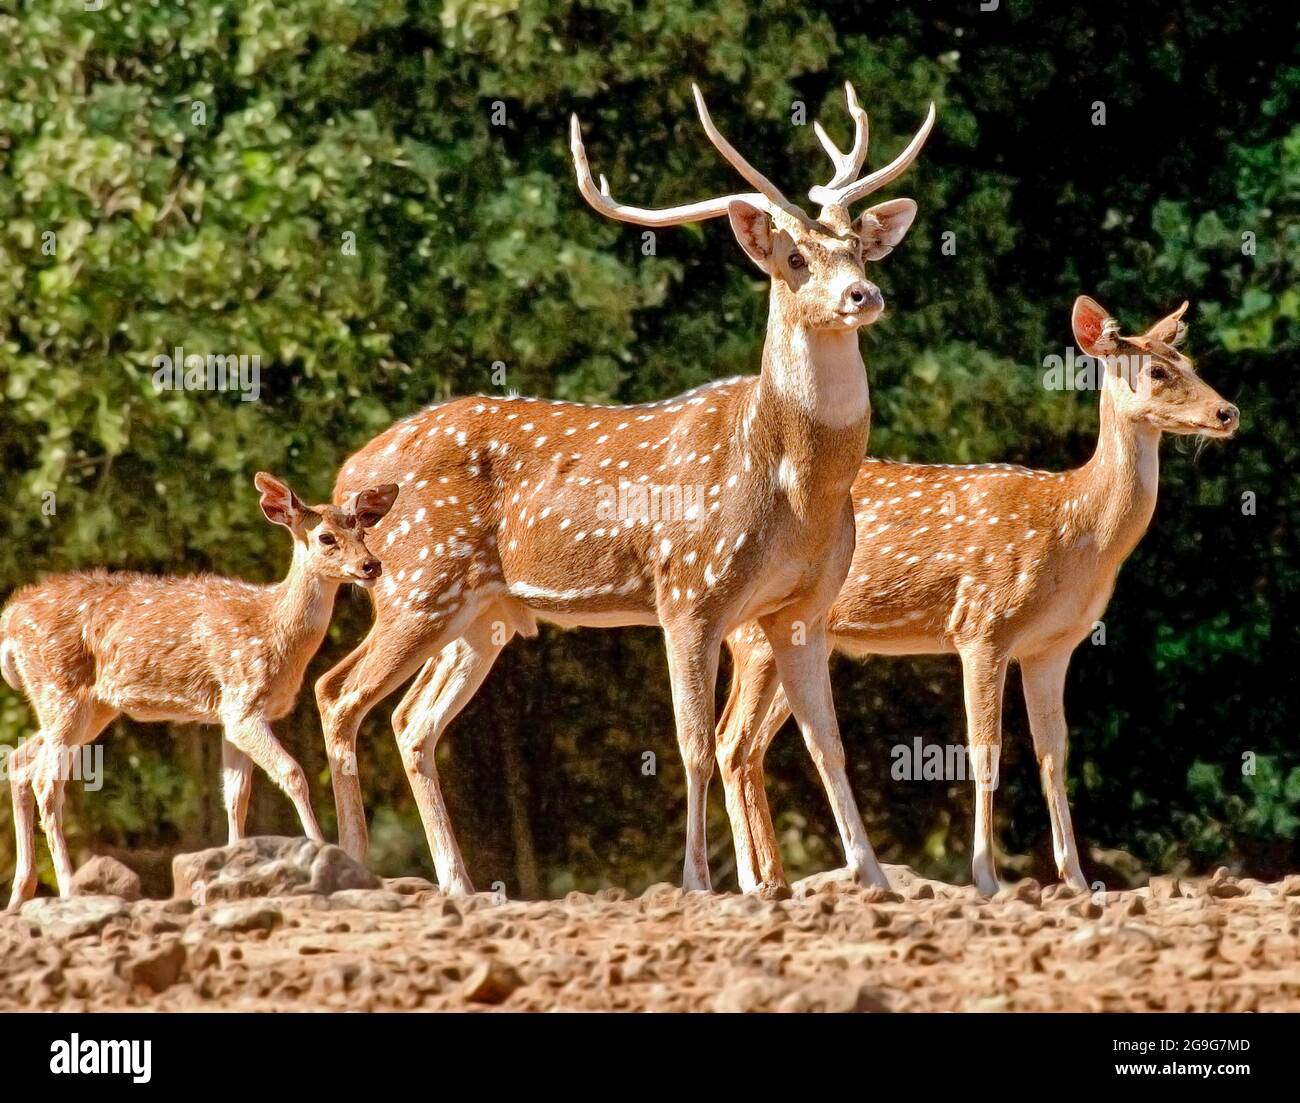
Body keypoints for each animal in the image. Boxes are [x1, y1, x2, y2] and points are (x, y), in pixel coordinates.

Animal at [0, 472, 398, 908]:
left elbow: (236, 796)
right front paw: (319, 850)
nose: (371, 564)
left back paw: (21, 893)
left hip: (90, 707)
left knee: (19, 761)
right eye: (326, 537)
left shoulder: (231, 715)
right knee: (45, 782)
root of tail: (10, 619)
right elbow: (292, 773)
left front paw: (232, 870)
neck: (273, 631)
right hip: (60, 689)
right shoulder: (242, 703)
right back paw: (70, 888)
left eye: (363, 530)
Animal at [313, 82, 936, 895]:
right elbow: (694, 742)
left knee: (411, 720)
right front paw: (700, 880)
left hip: (481, 611)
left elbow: (826, 744)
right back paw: (356, 866)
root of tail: (348, 472)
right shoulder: (688, 590)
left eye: (856, 247)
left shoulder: (803, 606)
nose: (864, 293)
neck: (798, 496)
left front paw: (873, 876)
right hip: (417, 579)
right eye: (795, 257)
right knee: (338, 695)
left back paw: (458, 881)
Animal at [713, 295, 1240, 897]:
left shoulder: (1052, 648)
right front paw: (987, 876)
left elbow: (1053, 753)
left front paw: (1077, 879)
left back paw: (775, 878)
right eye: (1156, 371)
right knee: (730, 739)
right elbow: (986, 749)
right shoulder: (983, 626)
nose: (1228, 413)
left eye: (1190, 361)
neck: (1074, 527)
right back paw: (754, 881)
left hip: (804, 641)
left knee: (748, 745)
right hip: (753, 636)